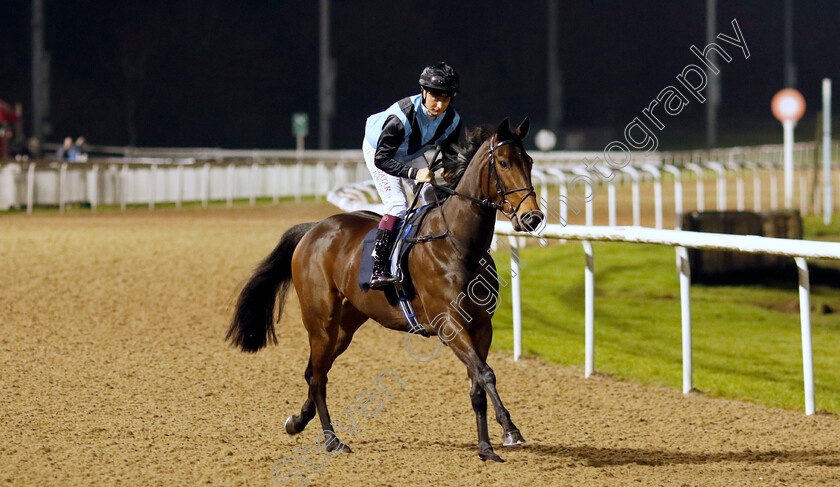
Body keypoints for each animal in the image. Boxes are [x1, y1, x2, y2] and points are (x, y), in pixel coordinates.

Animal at [228, 117, 544, 462]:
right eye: (503, 163)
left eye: (529, 162)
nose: (532, 217)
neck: (459, 244)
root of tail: (314, 229)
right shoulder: (449, 324)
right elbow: (485, 374)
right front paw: (509, 430)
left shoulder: (481, 325)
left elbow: (478, 381)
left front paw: (488, 445)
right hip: (321, 320)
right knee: (319, 376)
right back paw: (332, 440)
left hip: (346, 324)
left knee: (314, 371)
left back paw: (297, 421)